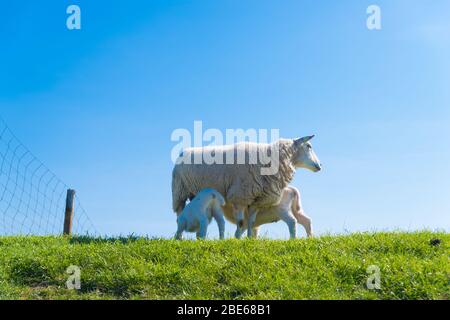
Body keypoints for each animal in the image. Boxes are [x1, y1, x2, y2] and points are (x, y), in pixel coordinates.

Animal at [171, 135, 322, 238]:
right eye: (308, 146)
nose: (320, 165)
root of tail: (182, 152)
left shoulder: (256, 199)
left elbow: (251, 222)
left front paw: (249, 239)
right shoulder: (240, 196)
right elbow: (241, 222)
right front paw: (237, 239)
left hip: (193, 193)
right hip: (179, 191)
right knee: (179, 215)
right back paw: (180, 237)